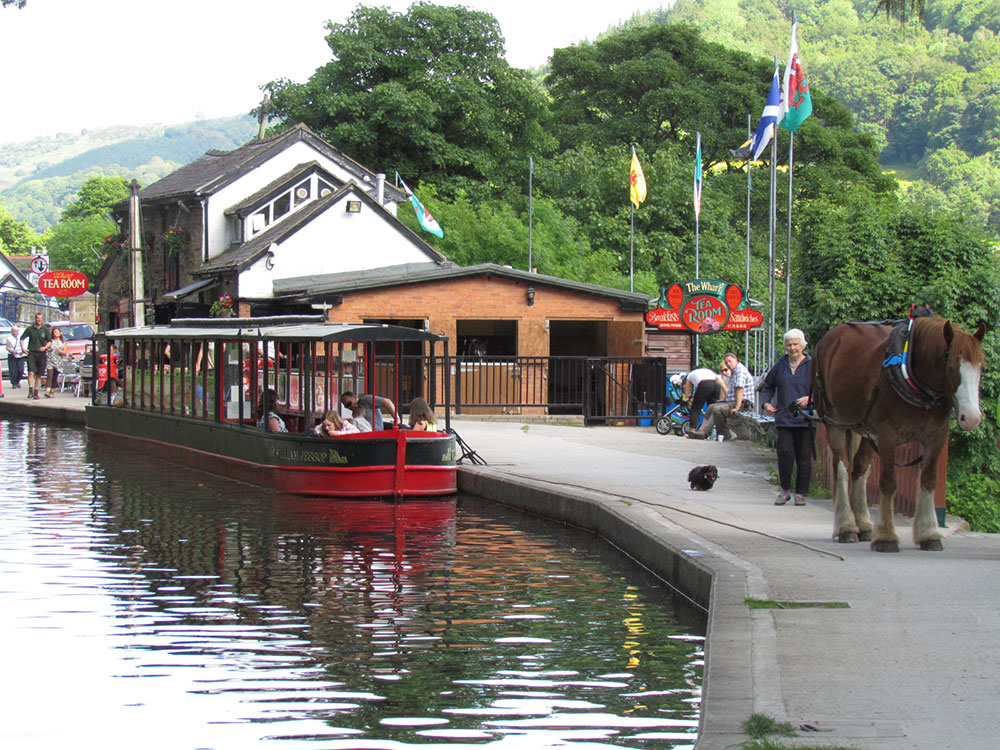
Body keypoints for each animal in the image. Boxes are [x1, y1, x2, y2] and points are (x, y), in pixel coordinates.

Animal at [816, 318, 988, 552]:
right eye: (952, 368)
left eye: (980, 368)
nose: (971, 418)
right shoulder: (888, 435)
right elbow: (889, 482)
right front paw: (886, 537)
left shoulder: (936, 437)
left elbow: (928, 480)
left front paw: (929, 534)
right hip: (836, 422)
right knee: (842, 469)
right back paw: (847, 527)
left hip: (864, 430)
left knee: (859, 469)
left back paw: (863, 525)